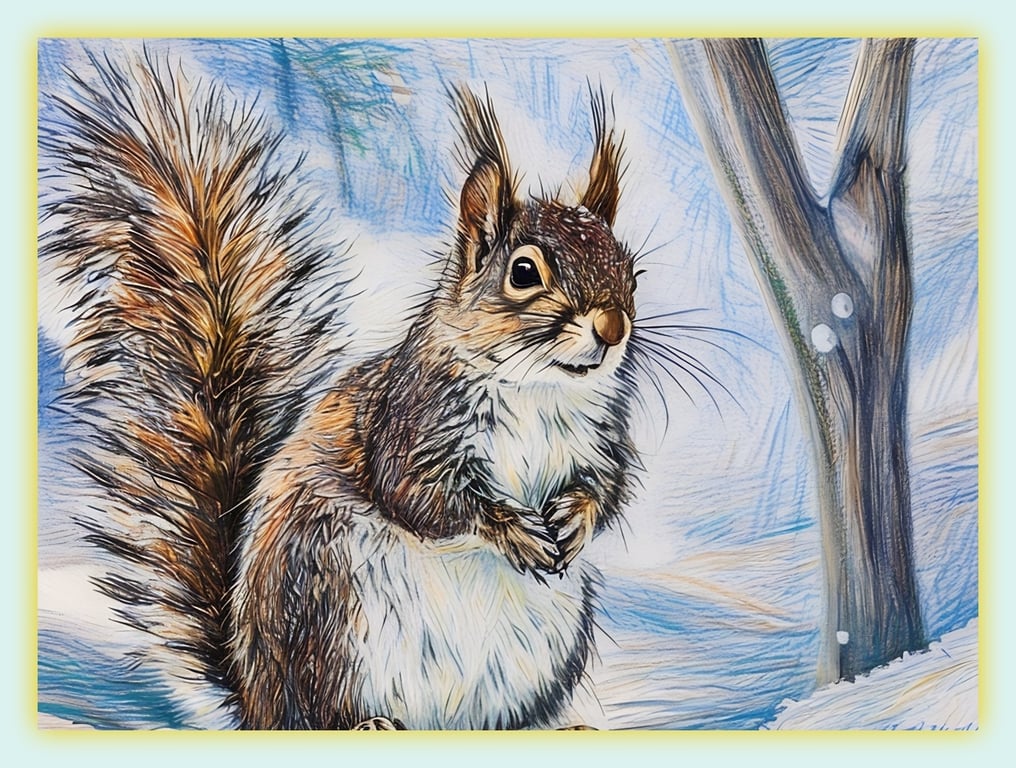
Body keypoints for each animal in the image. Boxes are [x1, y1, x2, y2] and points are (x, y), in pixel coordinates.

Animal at [39, 49, 642, 730]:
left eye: (631, 271)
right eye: (523, 272)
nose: (613, 328)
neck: (538, 390)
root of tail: (253, 697)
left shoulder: (600, 439)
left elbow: (606, 488)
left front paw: (574, 519)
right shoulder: (410, 422)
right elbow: (422, 496)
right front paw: (515, 530)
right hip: (328, 606)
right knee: (317, 712)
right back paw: (370, 725)